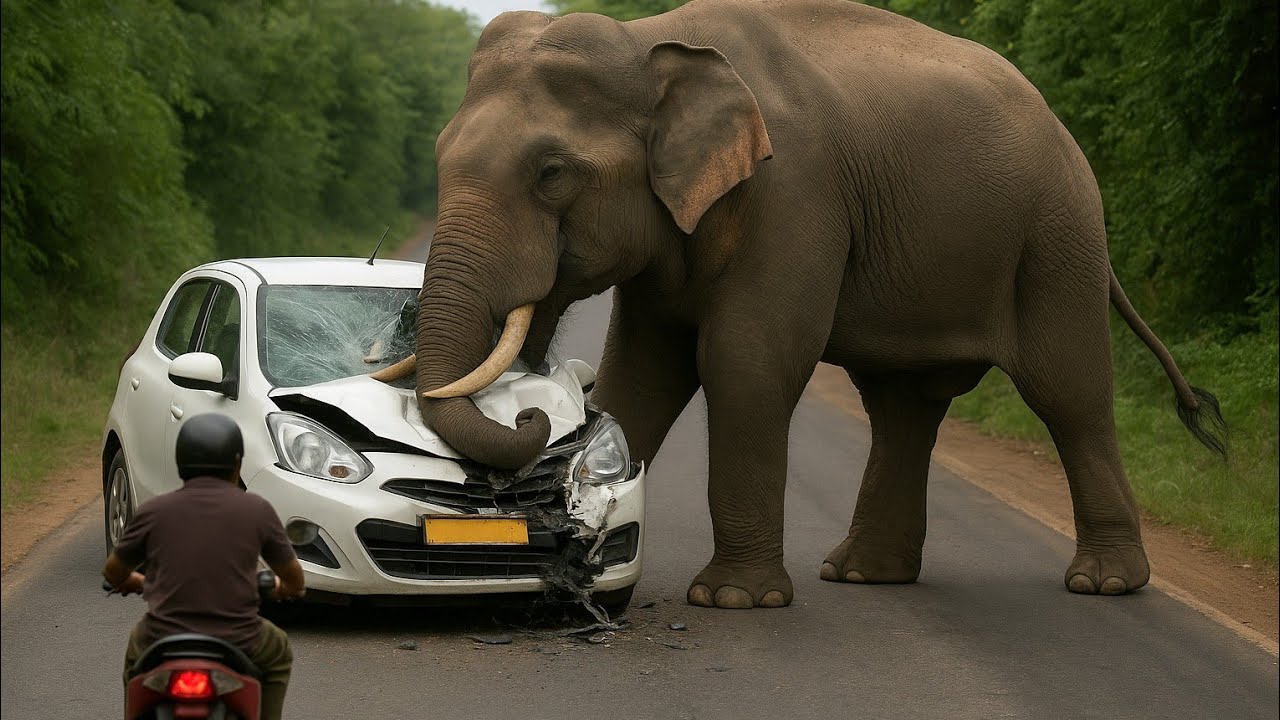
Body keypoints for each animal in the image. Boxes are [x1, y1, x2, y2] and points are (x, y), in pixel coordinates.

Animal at [374, 0, 1227, 609]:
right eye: (440, 156)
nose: (527, 410)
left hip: (1057, 237)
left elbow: (747, 362)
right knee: (903, 407)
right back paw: (864, 576)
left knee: (1068, 392)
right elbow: (641, 373)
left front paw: (733, 600)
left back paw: (1104, 584)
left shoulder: (794, 194)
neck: (653, 42)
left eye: (551, 172)